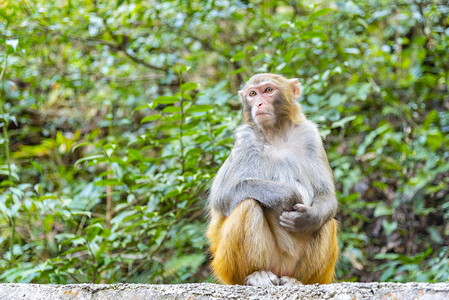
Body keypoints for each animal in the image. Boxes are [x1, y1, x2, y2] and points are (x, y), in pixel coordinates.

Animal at [206, 72, 336, 286]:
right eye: (252, 94)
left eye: (268, 90)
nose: (258, 103)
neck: (276, 135)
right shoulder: (245, 141)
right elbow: (223, 194)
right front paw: (288, 194)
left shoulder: (310, 136)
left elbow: (326, 195)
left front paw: (307, 218)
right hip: (226, 267)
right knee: (248, 204)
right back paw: (256, 274)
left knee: (326, 221)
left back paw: (297, 280)